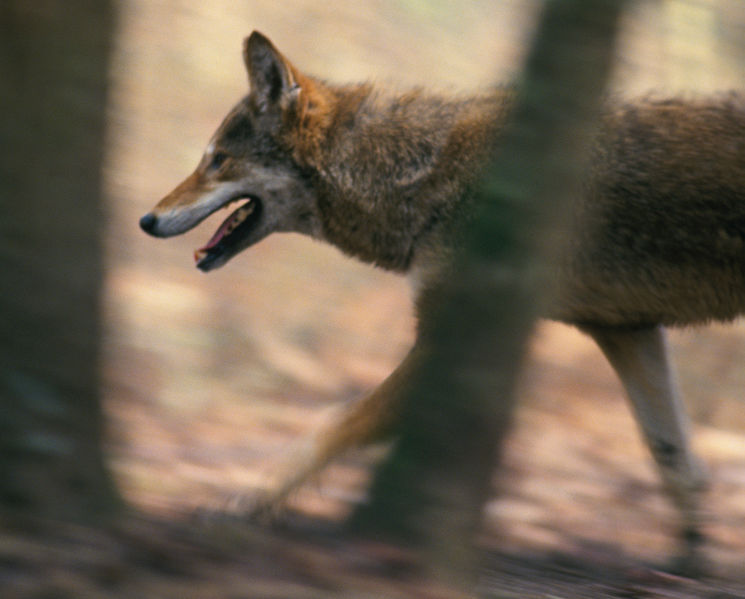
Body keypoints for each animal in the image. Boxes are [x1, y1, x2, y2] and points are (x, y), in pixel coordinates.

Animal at [140, 31, 744, 568]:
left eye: (217, 160)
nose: (146, 220)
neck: (414, 171)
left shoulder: (445, 341)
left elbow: (333, 425)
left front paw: (243, 504)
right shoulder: (625, 329)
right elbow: (676, 461)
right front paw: (690, 561)